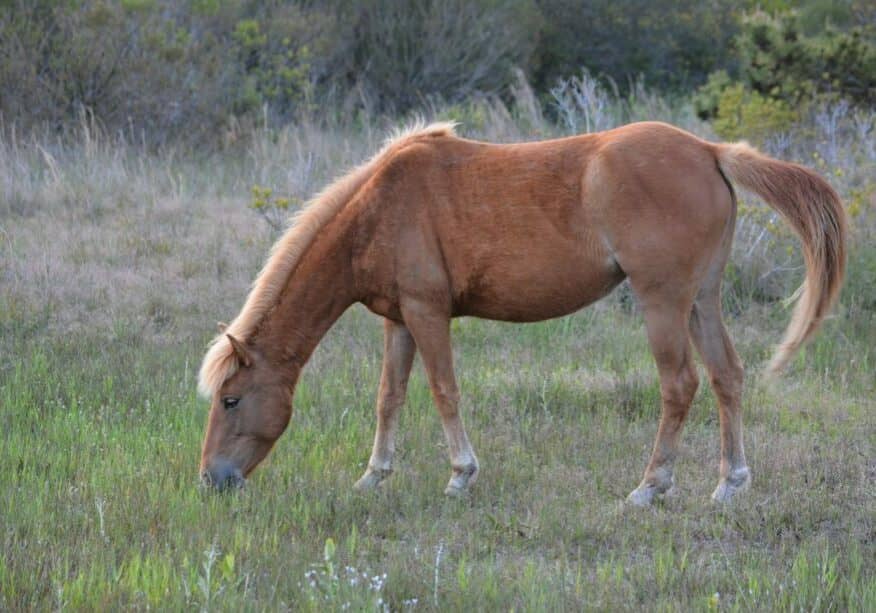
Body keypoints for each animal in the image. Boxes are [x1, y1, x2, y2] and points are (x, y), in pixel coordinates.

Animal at [197, 121, 846, 505]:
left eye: (231, 399)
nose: (211, 479)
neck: (378, 209)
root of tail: (710, 152)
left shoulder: (428, 313)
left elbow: (443, 391)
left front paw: (461, 474)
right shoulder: (399, 319)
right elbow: (390, 397)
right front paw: (374, 475)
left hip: (663, 302)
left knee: (679, 384)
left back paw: (649, 486)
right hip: (701, 302)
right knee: (725, 378)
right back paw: (730, 483)